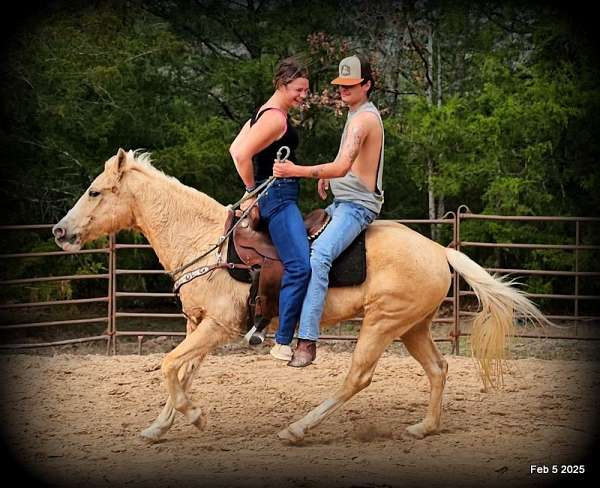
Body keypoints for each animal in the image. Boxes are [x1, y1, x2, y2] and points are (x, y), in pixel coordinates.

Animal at [52, 148, 548, 442]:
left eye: (94, 191)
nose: (60, 231)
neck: (208, 242)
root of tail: (440, 250)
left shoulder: (218, 326)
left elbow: (170, 365)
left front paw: (195, 418)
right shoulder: (197, 325)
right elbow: (182, 372)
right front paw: (159, 426)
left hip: (382, 325)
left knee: (357, 378)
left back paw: (297, 428)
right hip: (412, 328)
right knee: (439, 368)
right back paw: (423, 428)